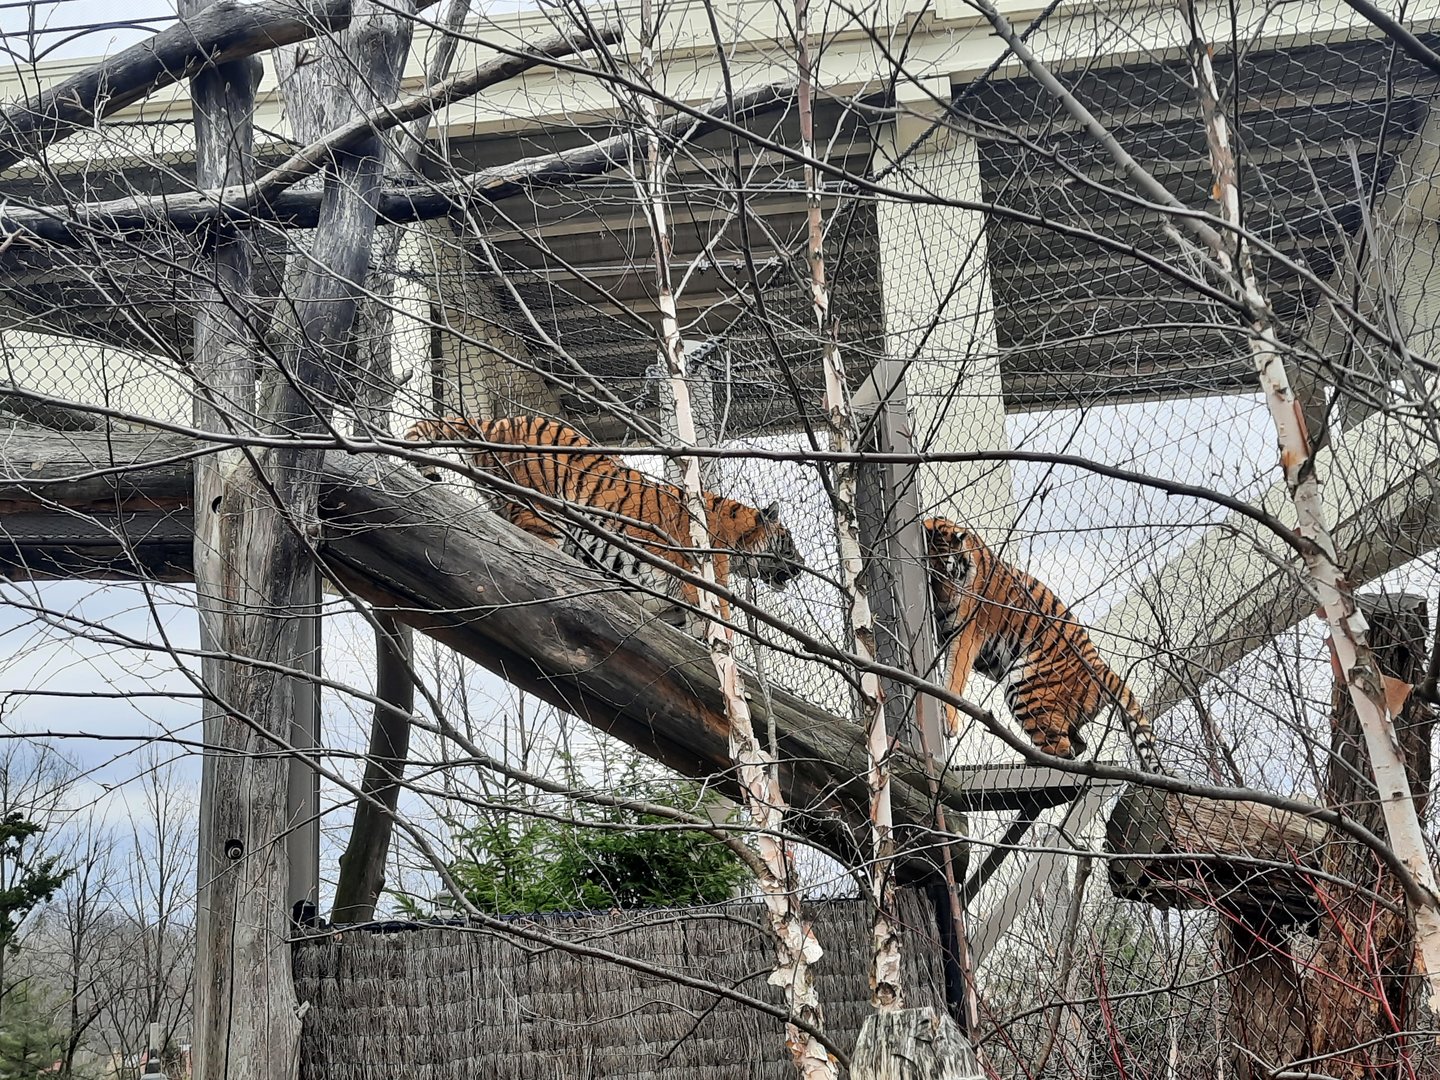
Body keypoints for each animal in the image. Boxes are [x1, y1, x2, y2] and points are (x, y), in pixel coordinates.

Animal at [402, 415, 804, 625]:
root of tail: (498, 419)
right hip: (541, 510)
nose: (801, 567)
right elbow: (720, 628)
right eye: (789, 541)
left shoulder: (672, 603)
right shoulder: (701, 580)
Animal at [922, 517, 1165, 773]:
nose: (946, 600)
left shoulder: (967, 633)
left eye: (948, 572)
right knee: (1078, 744)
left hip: (1023, 684)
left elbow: (954, 678)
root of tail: (1102, 667)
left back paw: (1030, 760)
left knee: (1063, 749)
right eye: (933, 574)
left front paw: (948, 722)